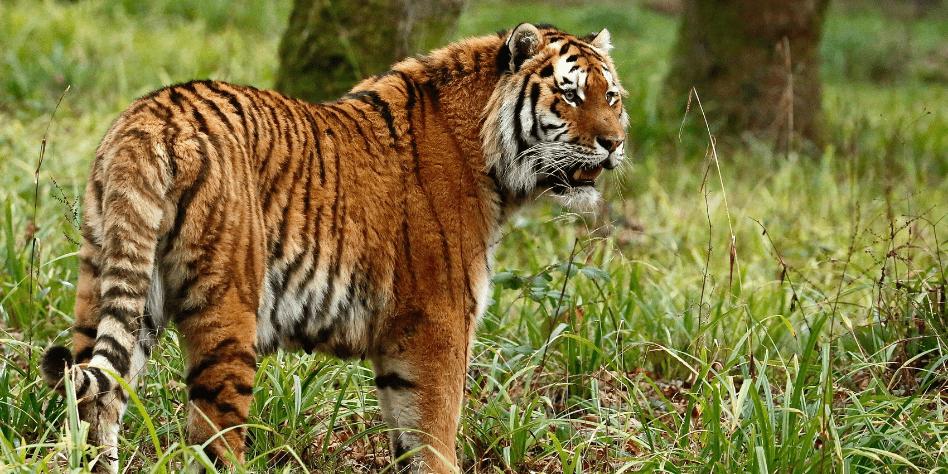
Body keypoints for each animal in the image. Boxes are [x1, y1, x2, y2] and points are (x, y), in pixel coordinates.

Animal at [40, 23, 624, 474]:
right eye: (570, 94)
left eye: (611, 97)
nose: (614, 143)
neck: (490, 155)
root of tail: (151, 116)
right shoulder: (440, 322)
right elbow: (437, 432)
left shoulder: (400, 343)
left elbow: (407, 436)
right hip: (227, 311)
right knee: (210, 439)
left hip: (111, 282)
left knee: (95, 397)